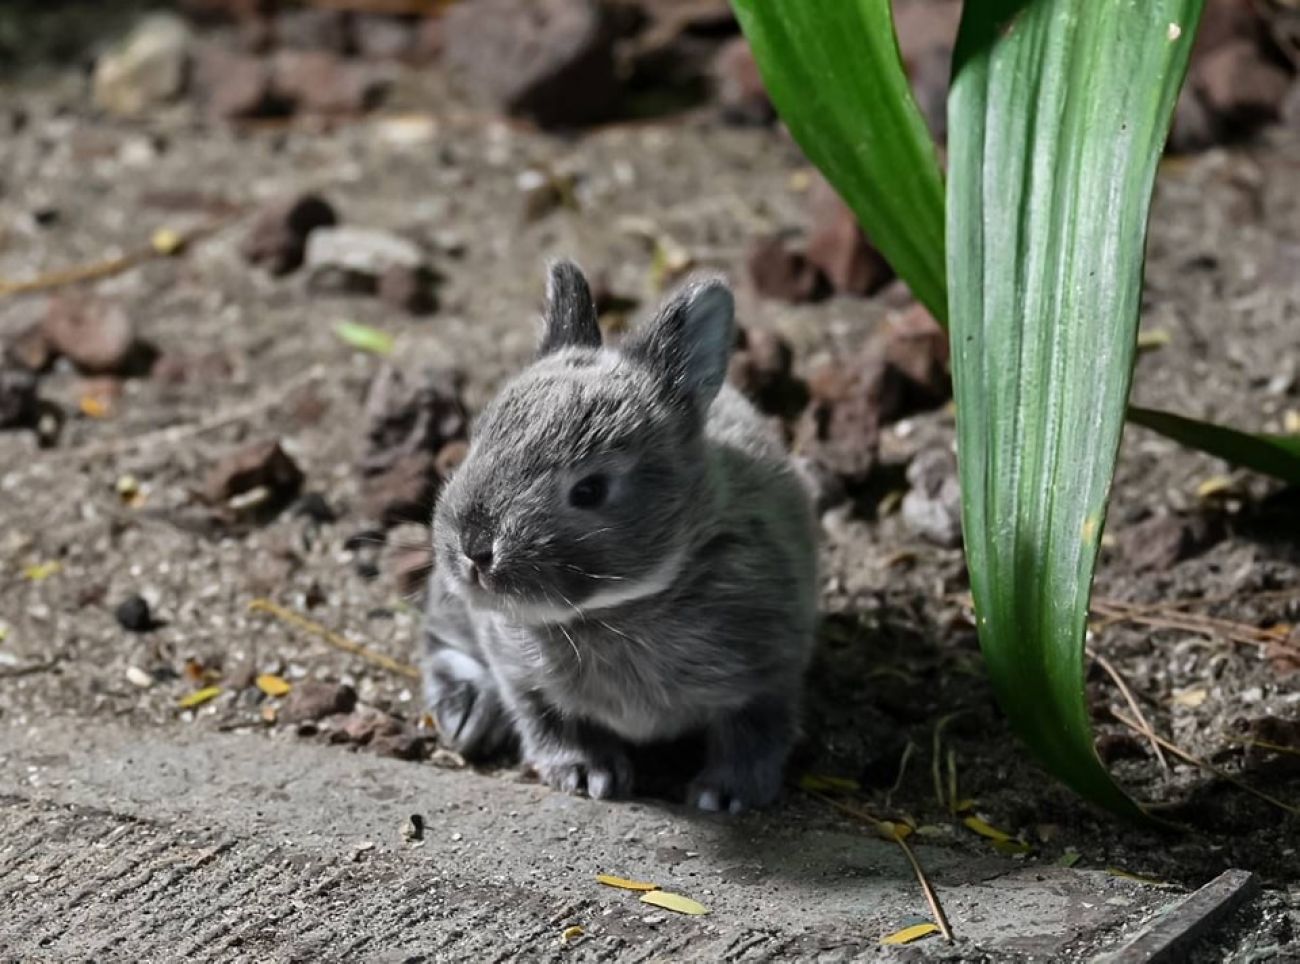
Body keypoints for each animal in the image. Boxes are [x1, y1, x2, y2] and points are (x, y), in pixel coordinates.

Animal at [421, 261, 816, 810]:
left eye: (590, 490)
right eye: (476, 444)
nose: (474, 551)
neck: (615, 609)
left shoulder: (770, 675)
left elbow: (754, 732)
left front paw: (726, 795)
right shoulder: (523, 678)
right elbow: (549, 719)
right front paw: (587, 772)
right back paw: (465, 711)